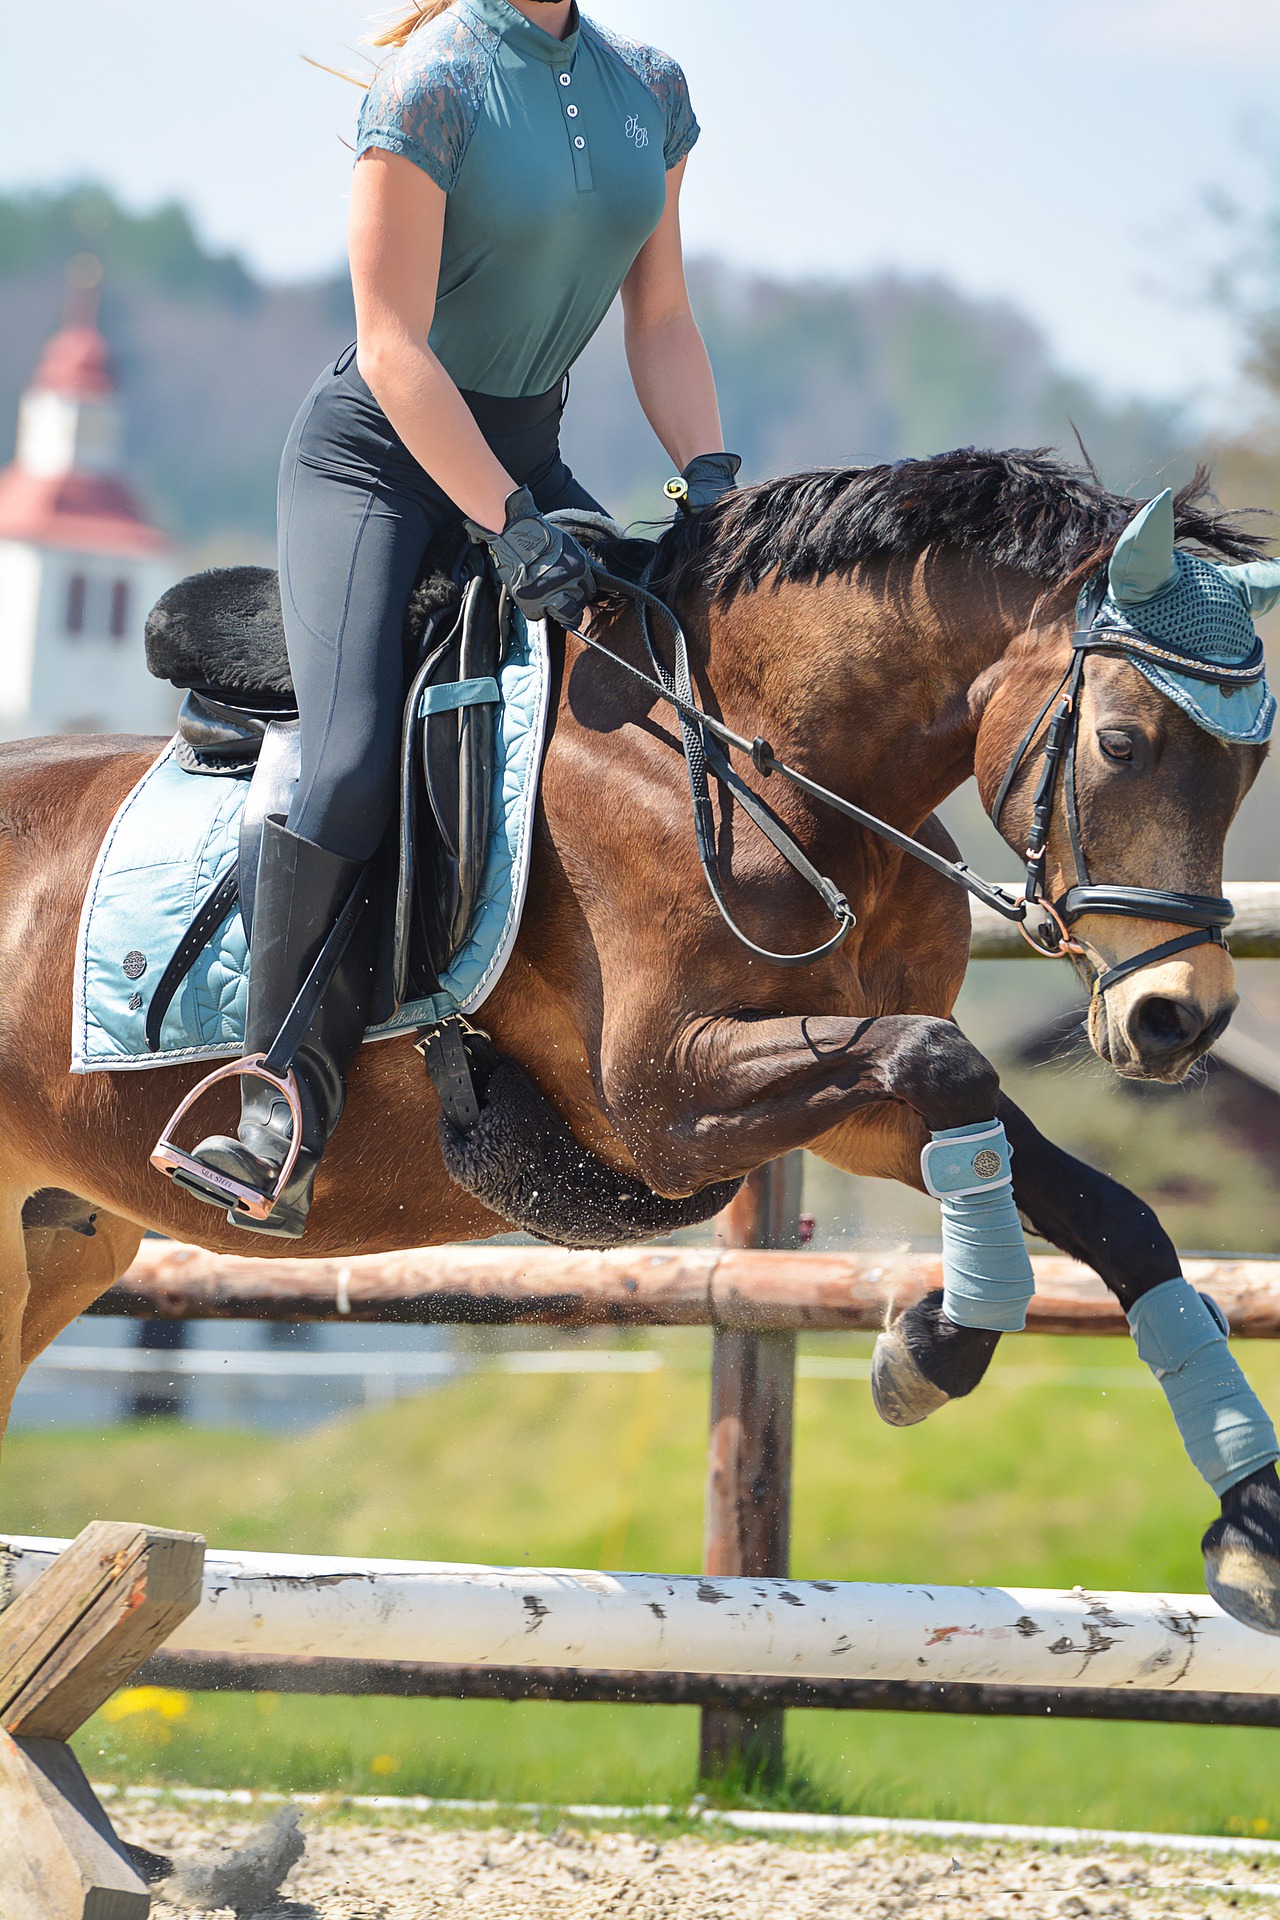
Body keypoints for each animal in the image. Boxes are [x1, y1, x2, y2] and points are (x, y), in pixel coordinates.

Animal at [1, 447, 1277, 1627]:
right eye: (1120, 743)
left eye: (1249, 763)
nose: (1180, 1016)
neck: (749, 768)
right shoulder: (669, 1110)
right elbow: (939, 1057)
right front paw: (935, 1347)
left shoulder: (845, 1104)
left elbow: (1102, 1207)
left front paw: (1246, 1513)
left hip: (57, 1239)